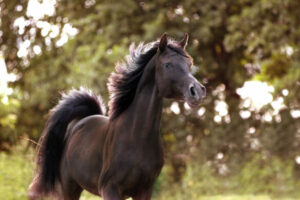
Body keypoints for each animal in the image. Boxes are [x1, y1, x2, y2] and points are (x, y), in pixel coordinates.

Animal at [28, 33, 205, 199]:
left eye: (189, 64)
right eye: (167, 64)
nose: (197, 91)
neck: (136, 138)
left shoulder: (144, 190)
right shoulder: (110, 189)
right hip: (68, 188)